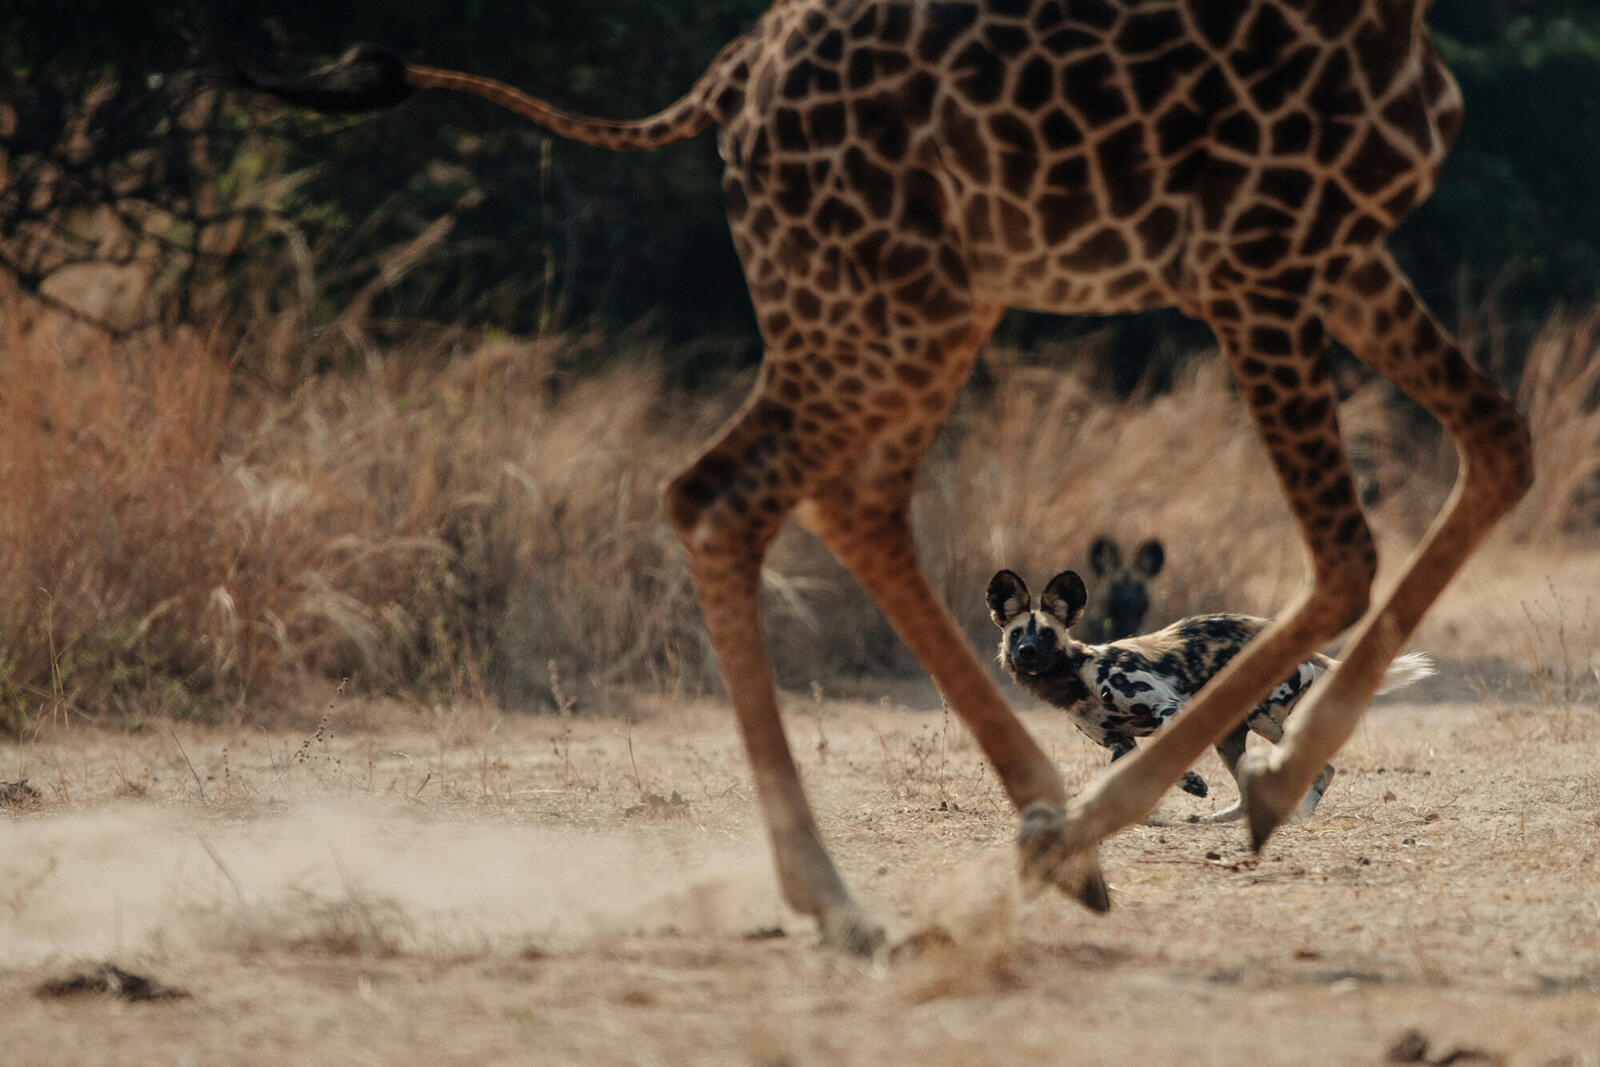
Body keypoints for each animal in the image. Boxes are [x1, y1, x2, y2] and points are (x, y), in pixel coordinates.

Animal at [985, 572, 1440, 825]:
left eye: (1047, 634)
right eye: (1017, 634)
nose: (1026, 654)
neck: (1077, 676)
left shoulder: (1170, 708)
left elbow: (1170, 759)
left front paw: (1191, 783)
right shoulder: (1120, 743)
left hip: (1258, 717)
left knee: (1321, 768)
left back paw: (1300, 815)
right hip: (1229, 736)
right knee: (1248, 790)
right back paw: (1221, 818)